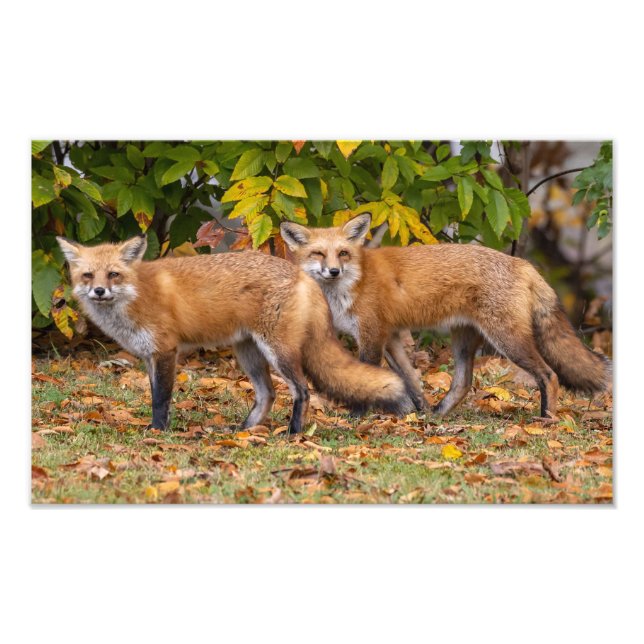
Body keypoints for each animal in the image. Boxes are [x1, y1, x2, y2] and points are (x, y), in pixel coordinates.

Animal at [56, 235, 414, 434]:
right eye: (88, 275)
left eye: (113, 274)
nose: (99, 291)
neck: (137, 294)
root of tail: (303, 274)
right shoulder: (149, 355)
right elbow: (157, 395)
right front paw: (160, 428)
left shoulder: (166, 351)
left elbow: (160, 399)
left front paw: (156, 431)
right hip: (248, 352)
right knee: (267, 395)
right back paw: (243, 431)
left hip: (278, 352)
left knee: (302, 391)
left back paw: (293, 433)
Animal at [280, 213, 611, 419]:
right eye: (318, 254)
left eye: (343, 253)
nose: (333, 271)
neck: (354, 281)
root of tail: (523, 263)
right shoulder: (391, 338)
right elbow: (411, 381)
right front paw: (420, 412)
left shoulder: (373, 335)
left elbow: (367, 374)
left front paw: (358, 415)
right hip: (464, 339)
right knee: (463, 383)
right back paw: (438, 415)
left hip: (508, 340)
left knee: (549, 375)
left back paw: (547, 419)